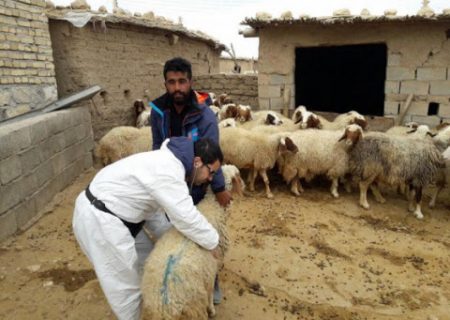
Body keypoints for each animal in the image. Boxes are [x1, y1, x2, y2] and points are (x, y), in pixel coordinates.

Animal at [142, 166, 244, 318]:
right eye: (238, 174)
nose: (244, 186)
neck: (212, 208)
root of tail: (163, 306)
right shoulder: (212, 266)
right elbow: (210, 290)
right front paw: (212, 309)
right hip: (194, 309)